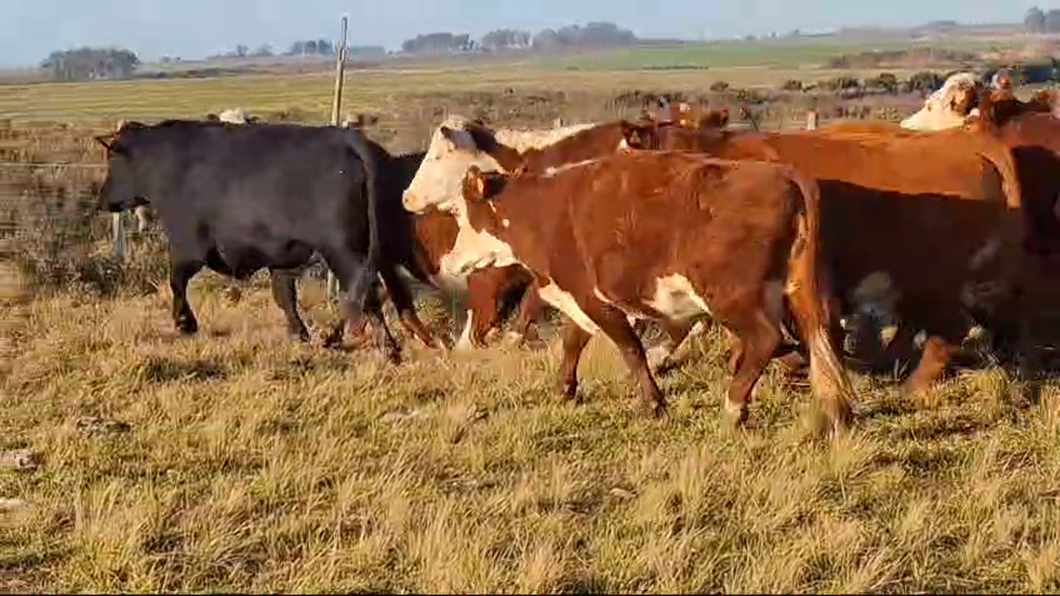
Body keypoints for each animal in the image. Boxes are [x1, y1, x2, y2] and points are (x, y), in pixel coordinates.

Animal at [460, 147, 856, 430]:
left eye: (459, 214)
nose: (452, 262)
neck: (543, 210)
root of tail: (784, 174)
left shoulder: (594, 298)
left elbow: (630, 349)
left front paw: (654, 404)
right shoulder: (580, 296)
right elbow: (573, 341)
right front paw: (564, 390)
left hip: (732, 296)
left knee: (765, 339)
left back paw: (733, 407)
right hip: (795, 291)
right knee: (818, 337)